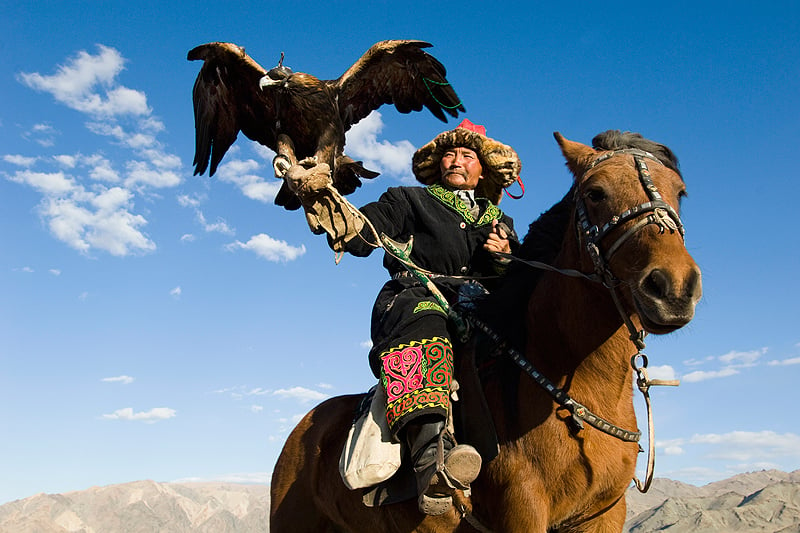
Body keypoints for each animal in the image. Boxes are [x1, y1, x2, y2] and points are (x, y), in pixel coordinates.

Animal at [268, 130, 700, 532]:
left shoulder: (606, 513)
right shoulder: (522, 510)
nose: (673, 287)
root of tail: (306, 426)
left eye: (680, 192)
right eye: (595, 193)